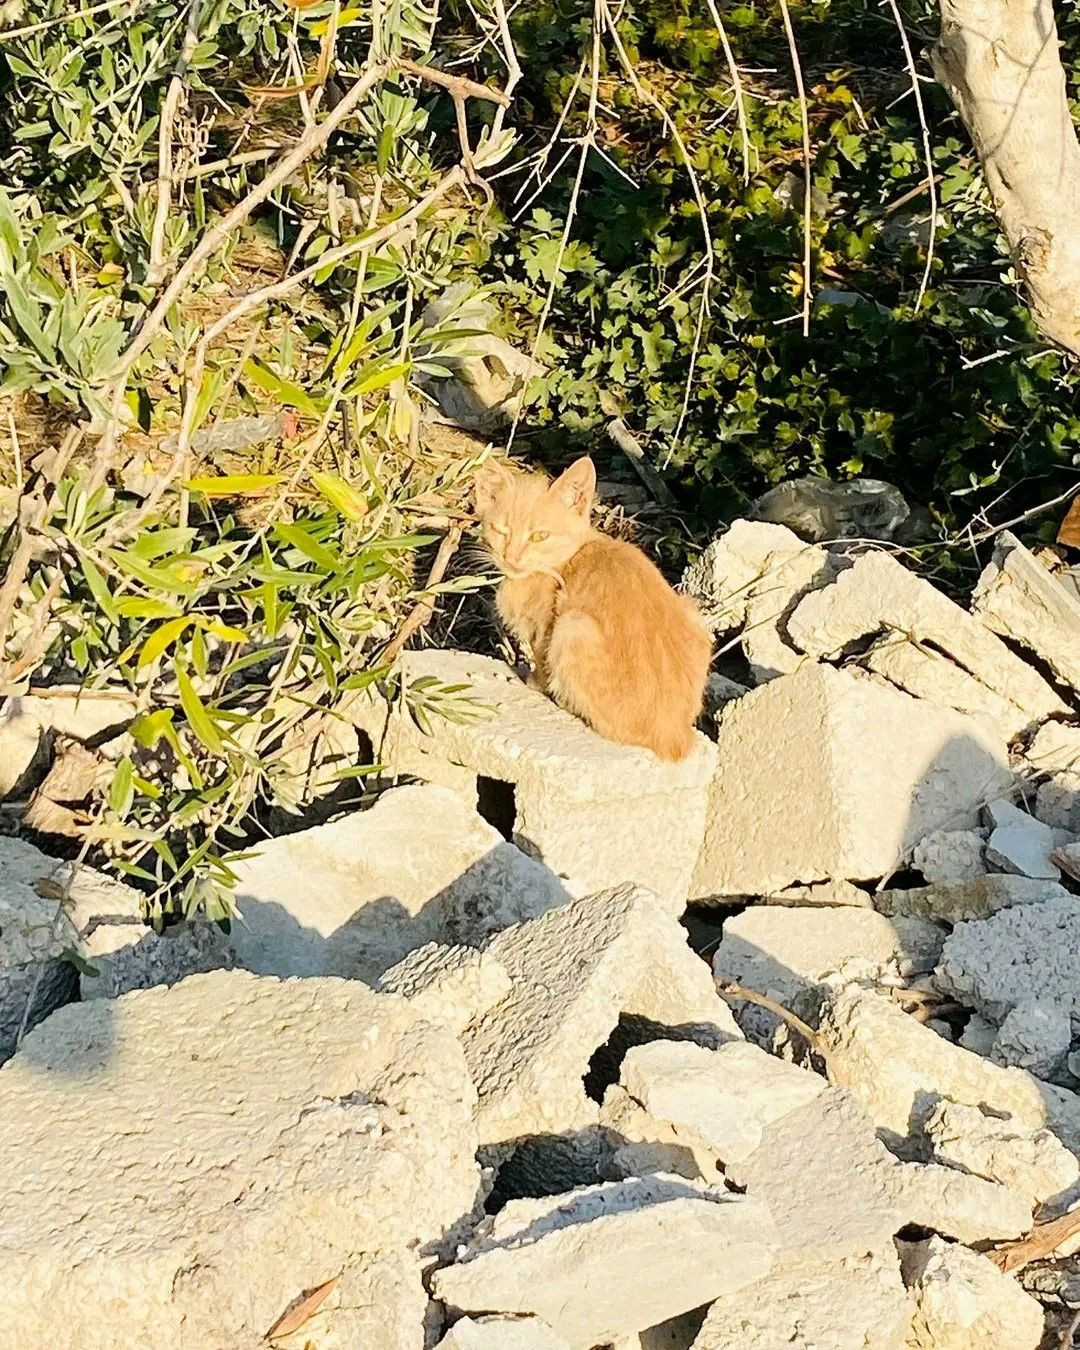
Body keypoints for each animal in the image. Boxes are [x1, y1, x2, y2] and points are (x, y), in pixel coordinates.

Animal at [469, 456, 707, 761]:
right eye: (501, 530)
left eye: (540, 536)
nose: (511, 557)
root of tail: (676, 737)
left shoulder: (544, 630)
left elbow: (542, 663)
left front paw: (531, 681)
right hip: (692, 611)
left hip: (572, 626)